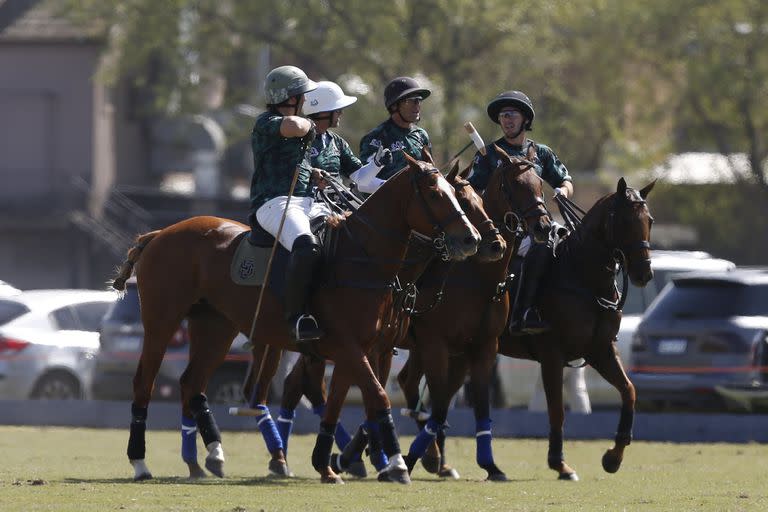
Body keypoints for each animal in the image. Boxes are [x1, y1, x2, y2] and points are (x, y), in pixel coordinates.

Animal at [111, 157, 480, 484]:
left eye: (456, 192)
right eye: (435, 194)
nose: (472, 239)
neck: (364, 259)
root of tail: (158, 234)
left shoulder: (359, 350)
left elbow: (336, 405)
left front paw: (328, 466)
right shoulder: (351, 346)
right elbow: (378, 397)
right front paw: (397, 466)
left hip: (216, 326)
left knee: (192, 383)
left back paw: (210, 457)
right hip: (162, 321)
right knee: (144, 382)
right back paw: (141, 463)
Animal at [498, 177, 656, 480]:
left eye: (649, 220)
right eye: (624, 221)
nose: (644, 274)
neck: (583, 276)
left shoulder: (600, 349)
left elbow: (629, 390)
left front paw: (613, 457)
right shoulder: (552, 354)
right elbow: (557, 410)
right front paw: (559, 463)